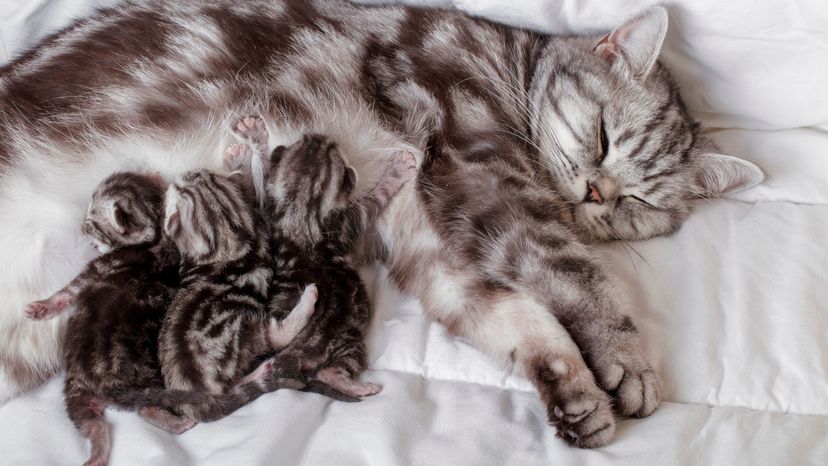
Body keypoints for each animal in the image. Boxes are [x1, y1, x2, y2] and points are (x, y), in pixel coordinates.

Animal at [0, 0, 764, 448]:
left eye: (641, 202)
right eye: (603, 136)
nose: (600, 193)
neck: (507, 66)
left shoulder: (428, 235)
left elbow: (511, 313)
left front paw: (573, 388)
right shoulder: (485, 179)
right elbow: (578, 274)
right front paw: (627, 360)